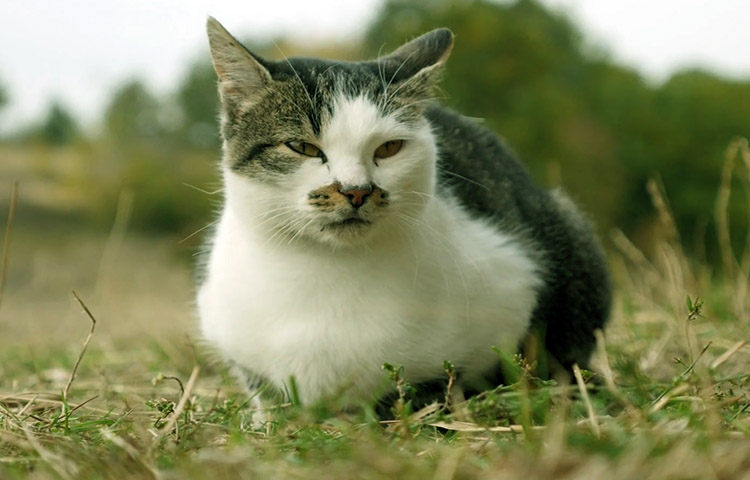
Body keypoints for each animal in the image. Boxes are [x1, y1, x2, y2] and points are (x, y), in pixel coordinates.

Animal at [197, 16, 612, 418]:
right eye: (302, 147)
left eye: (389, 148)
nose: (356, 190)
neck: (328, 267)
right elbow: (267, 396)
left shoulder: (515, 286)